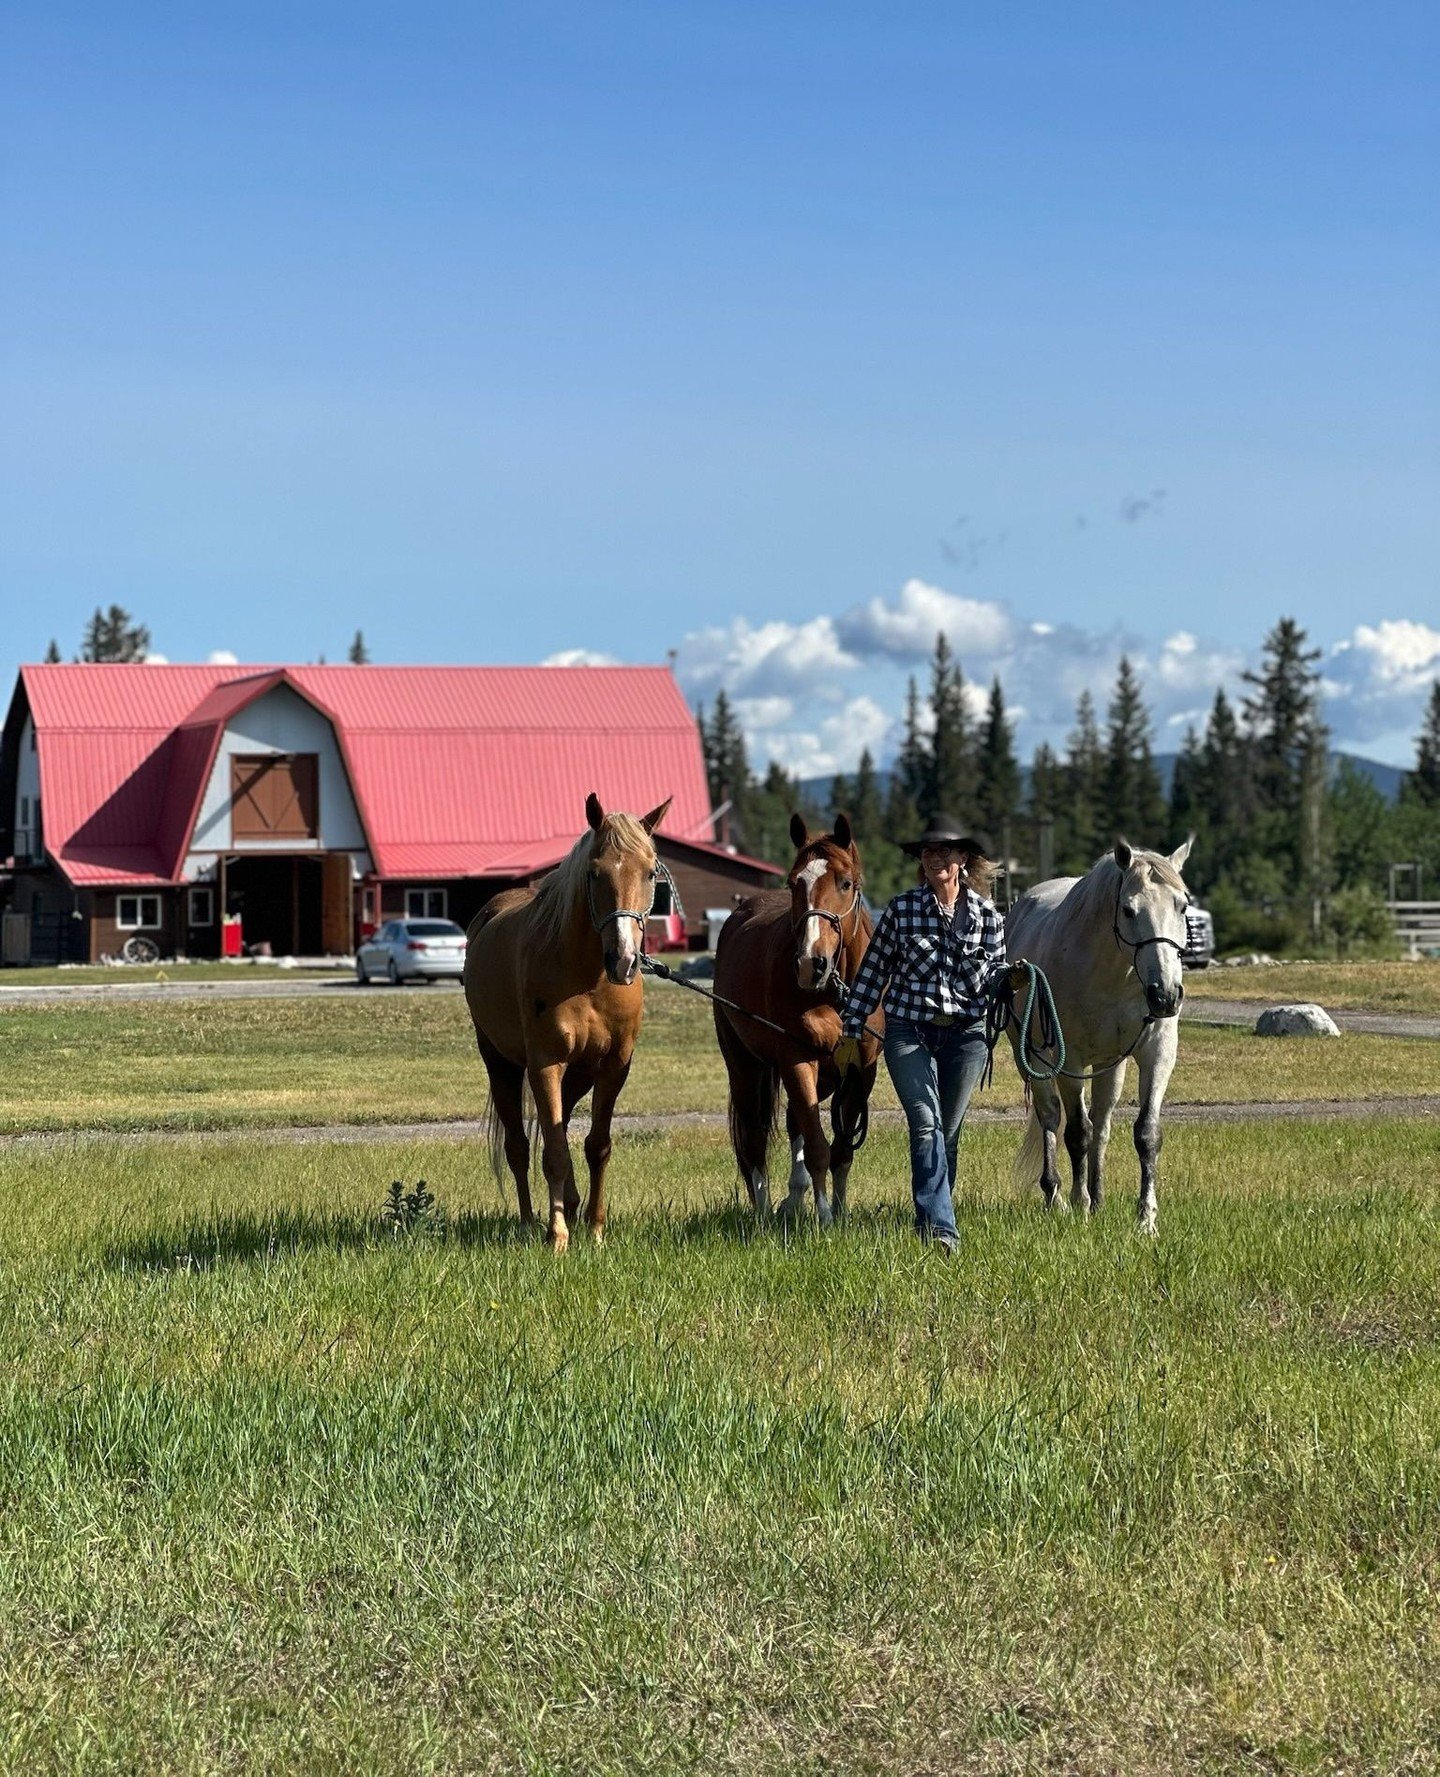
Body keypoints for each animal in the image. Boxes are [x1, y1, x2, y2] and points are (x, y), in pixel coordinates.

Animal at [464, 791, 671, 1251]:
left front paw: (594, 1230)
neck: (588, 978)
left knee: (553, 1129)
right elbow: (555, 1154)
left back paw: (572, 1206)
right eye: (594, 873)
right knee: (520, 1146)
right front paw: (556, 1236)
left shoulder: (613, 1067)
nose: (624, 960)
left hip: (579, 1076)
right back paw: (528, 1222)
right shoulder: (545, 1065)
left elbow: (596, 1146)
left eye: (651, 873)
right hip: (500, 1064)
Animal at [712, 812, 882, 1226]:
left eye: (845, 882)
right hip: (744, 1064)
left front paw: (840, 1211)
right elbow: (819, 1147)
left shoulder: (860, 1071)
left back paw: (793, 1198)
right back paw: (763, 1212)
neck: (839, 995)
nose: (810, 963)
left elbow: (841, 1151)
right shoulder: (796, 1060)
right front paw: (825, 1218)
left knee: (793, 1124)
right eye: (794, 882)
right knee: (754, 1137)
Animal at [1004, 836, 1194, 1235]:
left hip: (1110, 1065)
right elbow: (1077, 1133)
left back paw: (1099, 1199)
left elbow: (1146, 1134)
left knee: (1102, 1124)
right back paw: (1058, 1198)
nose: (1166, 995)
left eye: (1182, 906)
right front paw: (1079, 1205)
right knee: (1051, 1118)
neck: (1114, 975)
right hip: (1032, 1059)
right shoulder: (1070, 1061)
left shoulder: (1157, 1054)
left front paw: (1146, 1220)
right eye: (1128, 910)